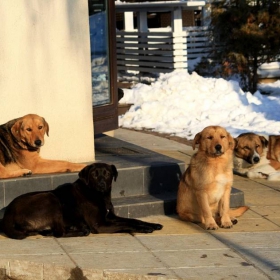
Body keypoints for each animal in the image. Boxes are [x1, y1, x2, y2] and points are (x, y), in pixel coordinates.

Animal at [0, 163, 163, 240]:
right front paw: (144, 229)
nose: (102, 185)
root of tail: (8, 212)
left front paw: (152, 224)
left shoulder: (111, 217)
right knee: (60, 233)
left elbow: (133, 220)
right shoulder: (100, 225)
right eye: (94, 175)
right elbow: (126, 225)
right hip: (51, 198)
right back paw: (80, 230)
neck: (98, 196)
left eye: (107, 174)